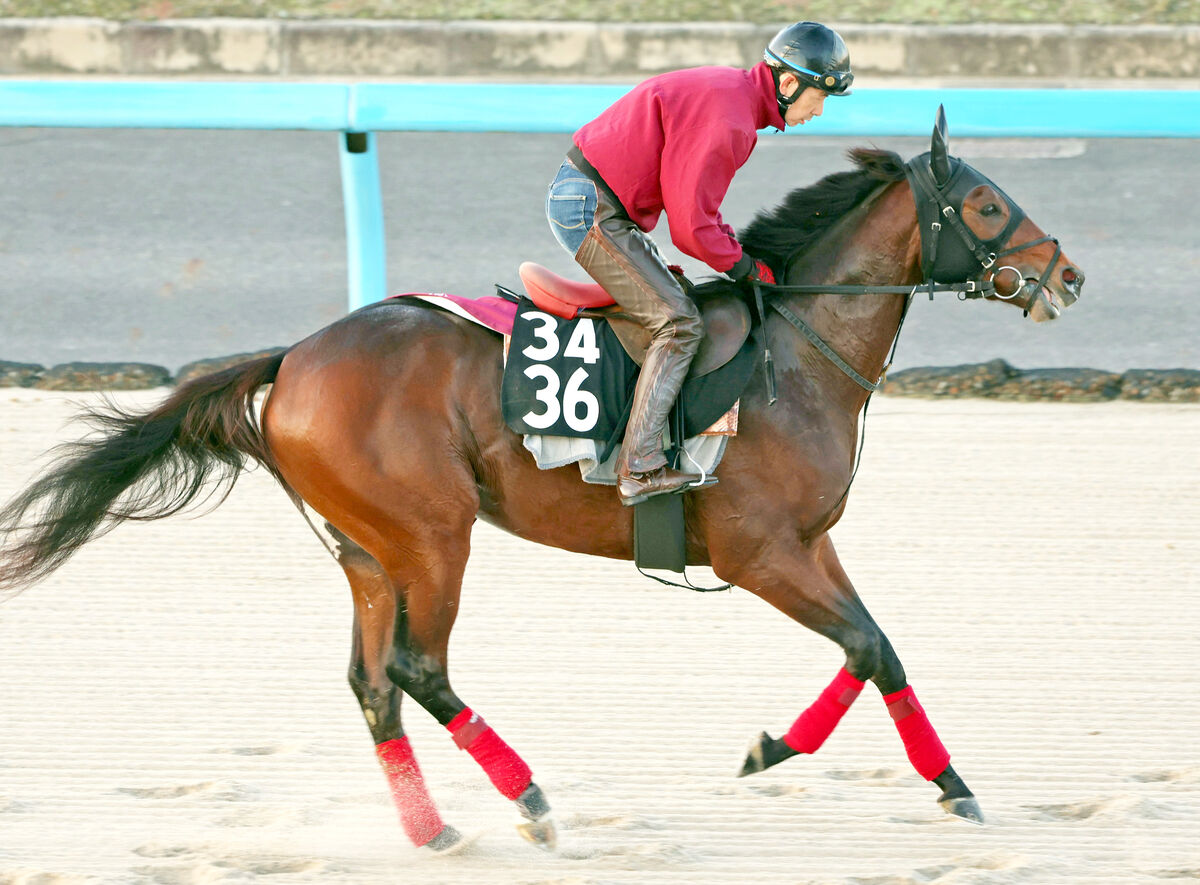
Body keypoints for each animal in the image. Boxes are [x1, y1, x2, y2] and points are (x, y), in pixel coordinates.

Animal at [0, 113, 1084, 853]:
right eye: (987, 203)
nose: (1067, 275)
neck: (792, 354)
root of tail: (292, 358)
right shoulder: (760, 552)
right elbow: (864, 644)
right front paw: (796, 754)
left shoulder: (809, 543)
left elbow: (879, 650)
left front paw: (919, 776)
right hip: (434, 537)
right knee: (416, 668)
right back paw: (527, 799)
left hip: (367, 552)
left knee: (371, 682)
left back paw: (432, 829)